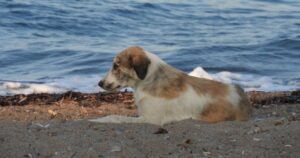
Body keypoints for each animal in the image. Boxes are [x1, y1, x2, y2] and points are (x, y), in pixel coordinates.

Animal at [90, 46, 252, 125]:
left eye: (116, 66)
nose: (99, 83)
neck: (150, 79)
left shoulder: (149, 119)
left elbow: (114, 117)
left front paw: (96, 120)